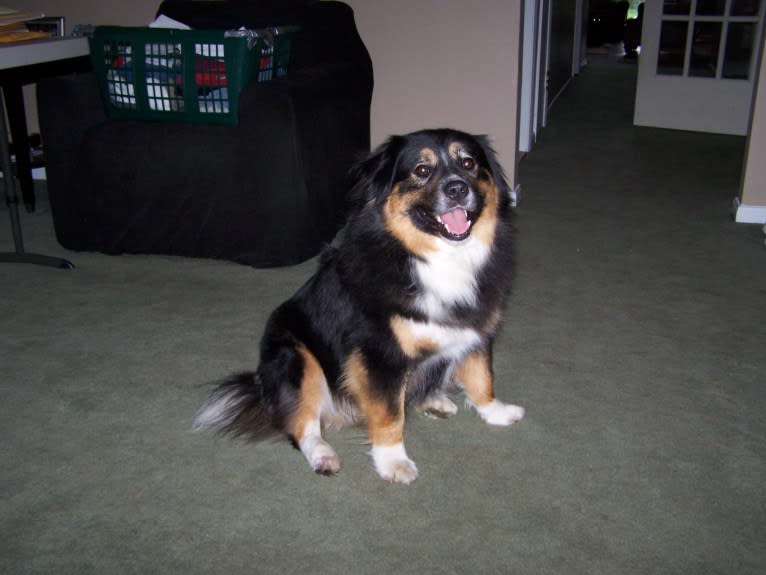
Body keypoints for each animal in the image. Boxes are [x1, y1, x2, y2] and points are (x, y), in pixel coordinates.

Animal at [195, 128, 524, 484]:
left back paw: (435, 399)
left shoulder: (475, 331)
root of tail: (260, 386)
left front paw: (496, 412)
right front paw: (393, 462)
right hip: (296, 357)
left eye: (468, 163)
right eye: (422, 170)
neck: (433, 258)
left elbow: (482, 377)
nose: (457, 188)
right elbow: (389, 415)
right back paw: (323, 455)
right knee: (301, 426)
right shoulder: (379, 355)